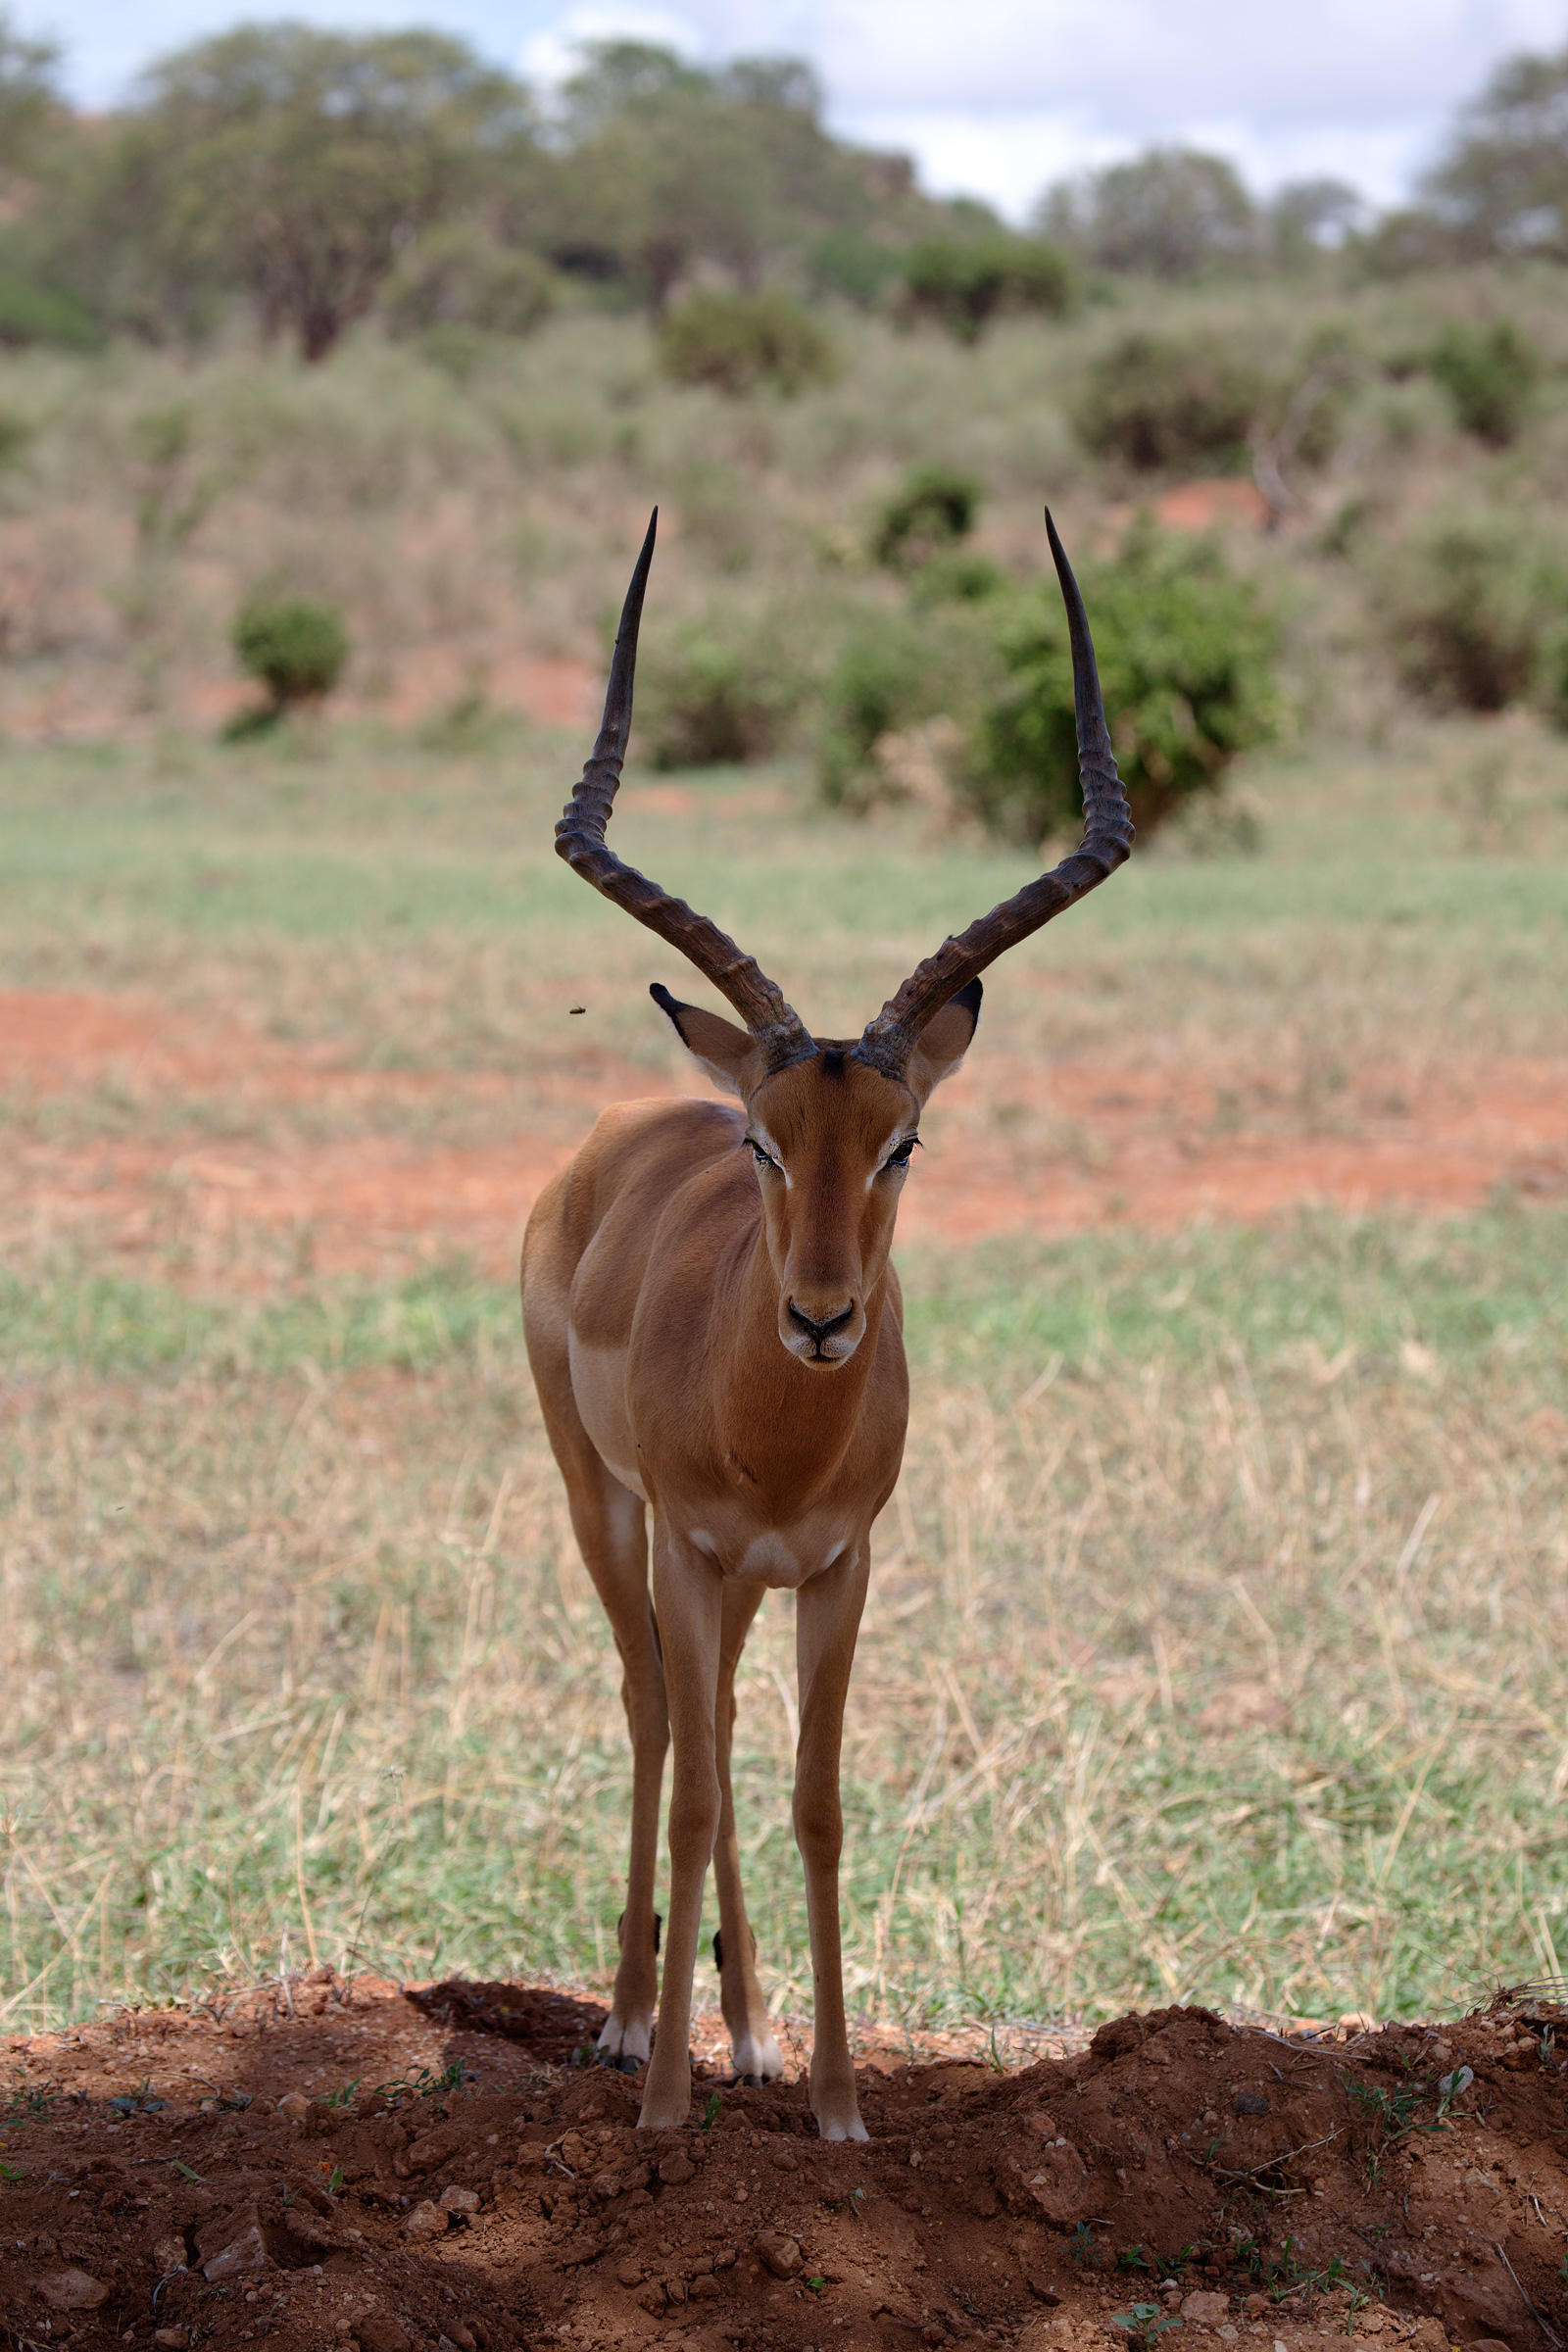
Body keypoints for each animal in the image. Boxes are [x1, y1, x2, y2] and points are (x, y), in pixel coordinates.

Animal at [522, 509, 1132, 2139]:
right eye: (766, 1143)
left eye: (902, 1143)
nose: (819, 1318)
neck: (778, 1437)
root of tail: (621, 1129)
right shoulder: (688, 1541)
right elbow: (694, 1790)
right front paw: (666, 2111)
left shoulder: (840, 1565)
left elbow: (814, 1801)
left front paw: (841, 2107)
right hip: (606, 1509)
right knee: (657, 1716)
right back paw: (634, 2027)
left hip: (742, 1580)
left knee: (720, 1729)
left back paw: (745, 2031)